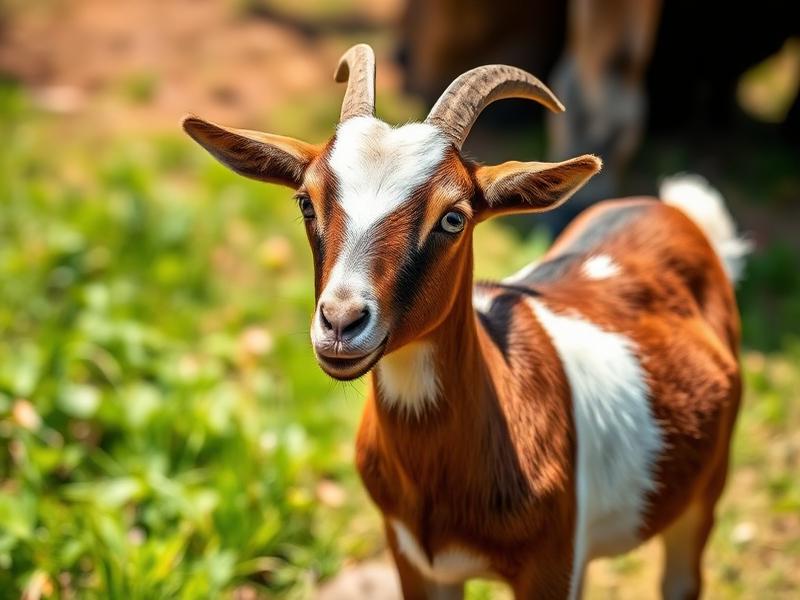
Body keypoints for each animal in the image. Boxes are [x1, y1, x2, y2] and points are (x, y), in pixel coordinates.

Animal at [184, 44, 745, 600]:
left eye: (453, 218)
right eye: (306, 202)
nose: (341, 322)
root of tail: (678, 214)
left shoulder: (549, 564)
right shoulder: (416, 559)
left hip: (705, 490)